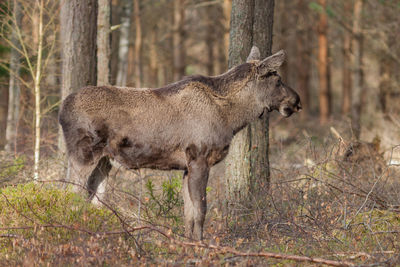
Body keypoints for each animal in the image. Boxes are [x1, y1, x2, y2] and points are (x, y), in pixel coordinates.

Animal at [57, 46, 300, 241]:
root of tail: (60, 111)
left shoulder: (186, 167)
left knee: (92, 199)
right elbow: (201, 210)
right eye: (278, 80)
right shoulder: (199, 158)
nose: (297, 101)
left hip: (104, 161)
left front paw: (189, 242)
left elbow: (188, 213)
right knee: (68, 193)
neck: (230, 118)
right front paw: (201, 245)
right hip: (83, 154)